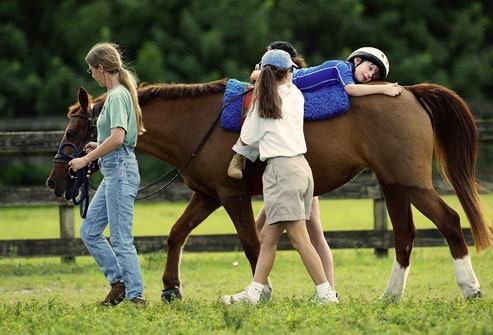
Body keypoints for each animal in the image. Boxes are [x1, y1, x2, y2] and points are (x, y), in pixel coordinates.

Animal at [47, 80, 492, 302]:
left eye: (72, 132)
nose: (55, 180)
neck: (200, 123)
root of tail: (410, 93)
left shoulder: (232, 196)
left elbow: (250, 244)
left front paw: (263, 291)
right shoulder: (208, 195)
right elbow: (176, 234)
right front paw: (171, 287)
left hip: (411, 183)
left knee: (450, 221)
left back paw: (470, 288)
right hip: (393, 185)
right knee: (404, 235)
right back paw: (391, 295)